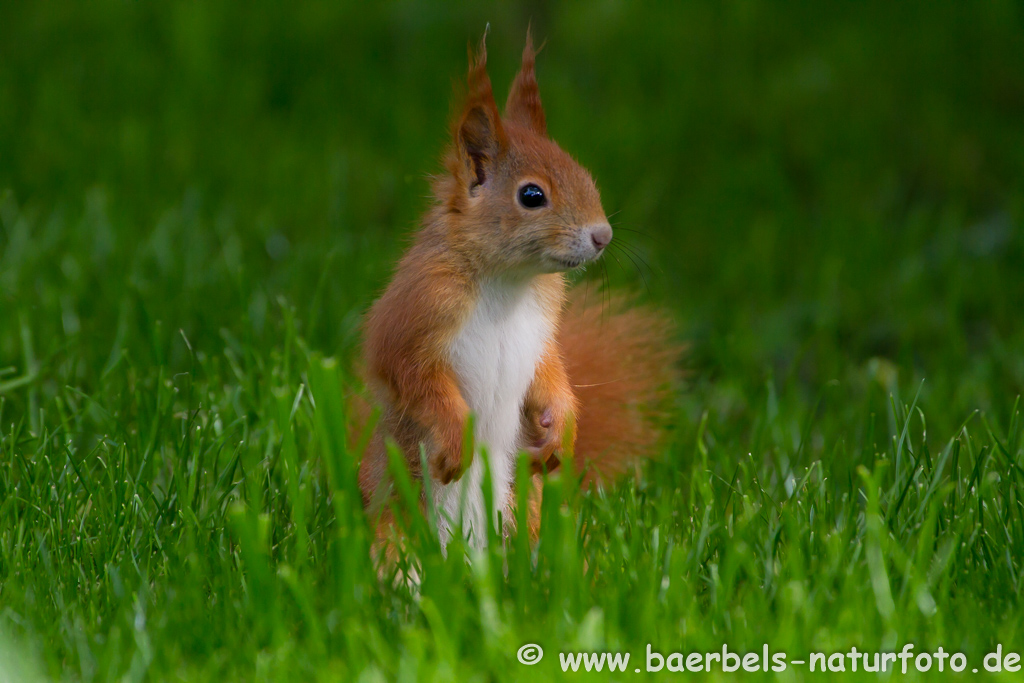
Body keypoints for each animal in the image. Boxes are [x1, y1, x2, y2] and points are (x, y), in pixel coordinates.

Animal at [356, 31, 684, 552]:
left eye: (586, 176)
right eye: (532, 196)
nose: (603, 236)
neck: (508, 283)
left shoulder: (541, 327)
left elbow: (550, 372)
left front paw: (562, 429)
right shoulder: (417, 307)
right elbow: (409, 373)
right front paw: (455, 440)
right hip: (395, 521)